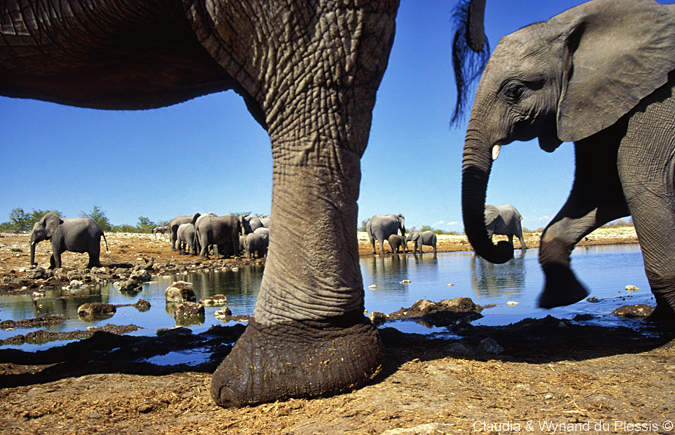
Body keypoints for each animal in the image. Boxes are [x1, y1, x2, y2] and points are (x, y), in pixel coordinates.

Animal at [460, 0, 675, 322]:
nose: (500, 251)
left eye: (514, 90)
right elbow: (601, 192)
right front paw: (563, 298)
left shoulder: (653, 102)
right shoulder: (594, 103)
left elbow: (644, 189)